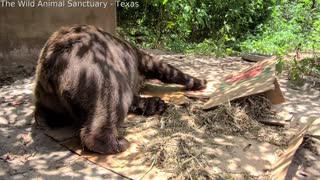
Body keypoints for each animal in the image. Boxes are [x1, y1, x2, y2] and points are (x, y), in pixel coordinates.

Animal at [33, 25, 206, 155]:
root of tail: (53, 59)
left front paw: (155, 104)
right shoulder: (137, 59)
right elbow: (163, 68)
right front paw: (199, 82)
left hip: (48, 94)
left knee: (45, 110)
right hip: (92, 67)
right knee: (111, 99)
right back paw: (115, 142)